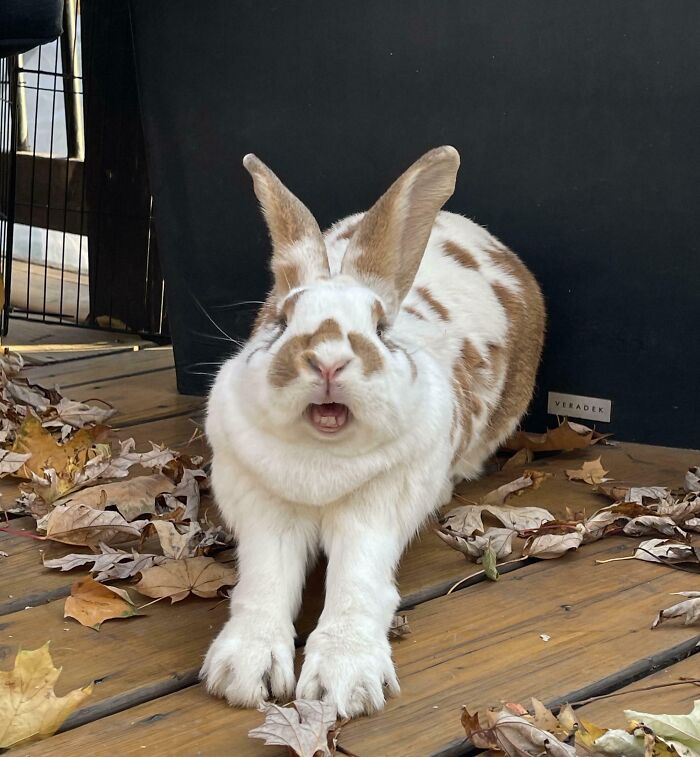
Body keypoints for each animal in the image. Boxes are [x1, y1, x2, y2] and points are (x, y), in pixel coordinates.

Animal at [200, 146, 545, 718]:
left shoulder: (378, 509)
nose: (328, 360)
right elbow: (265, 581)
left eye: (381, 327)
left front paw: (343, 683)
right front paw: (242, 671)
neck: (320, 461)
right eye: (281, 320)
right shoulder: (262, 508)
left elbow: (357, 584)